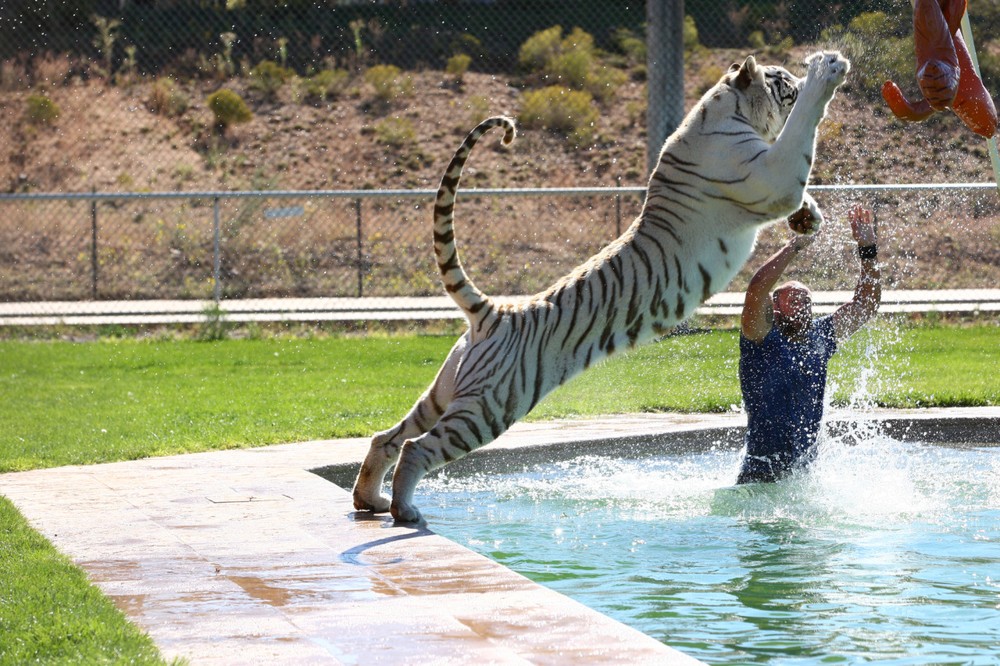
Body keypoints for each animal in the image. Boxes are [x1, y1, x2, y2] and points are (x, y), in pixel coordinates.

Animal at [352, 49, 852, 520]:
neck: (726, 108)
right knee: (417, 447)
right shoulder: (772, 176)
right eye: (781, 78)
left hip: (446, 393)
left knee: (387, 437)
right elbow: (802, 131)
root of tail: (492, 313)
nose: (794, 73)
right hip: (487, 408)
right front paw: (826, 71)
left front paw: (810, 218)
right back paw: (404, 510)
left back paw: (370, 500)